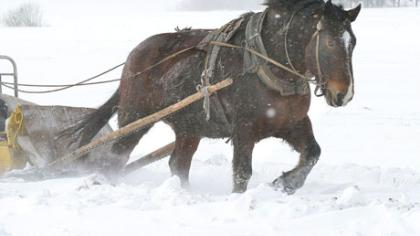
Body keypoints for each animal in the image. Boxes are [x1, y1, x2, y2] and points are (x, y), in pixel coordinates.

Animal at [68, 0, 360, 194]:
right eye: (330, 43)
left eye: (353, 42)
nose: (343, 94)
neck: (266, 62)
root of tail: (133, 58)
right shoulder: (244, 130)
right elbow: (242, 173)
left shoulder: (292, 123)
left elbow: (312, 153)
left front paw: (286, 183)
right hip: (135, 118)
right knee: (116, 158)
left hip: (189, 128)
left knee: (178, 164)